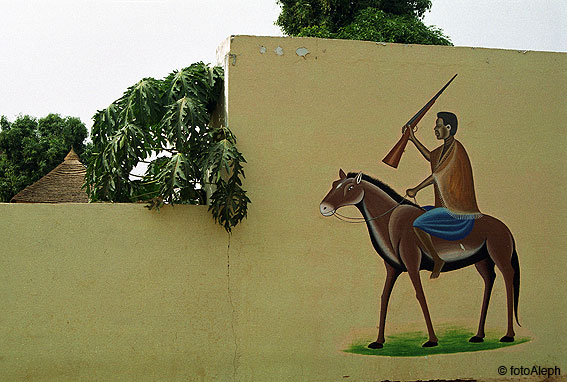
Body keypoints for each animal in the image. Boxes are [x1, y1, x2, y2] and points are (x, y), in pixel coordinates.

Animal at [318, 169, 520, 348]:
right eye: (334, 184)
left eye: (350, 187)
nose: (324, 207)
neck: (390, 221)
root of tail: (505, 228)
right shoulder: (393, 269)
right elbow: (384, 298)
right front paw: (378, 341)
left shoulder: (412, 266)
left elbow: (420, 296)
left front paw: (432, 340)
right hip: (482, 261)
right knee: (489, 280)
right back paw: (479, 336)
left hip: (499, 256)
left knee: (508, 279)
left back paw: (509, 335)